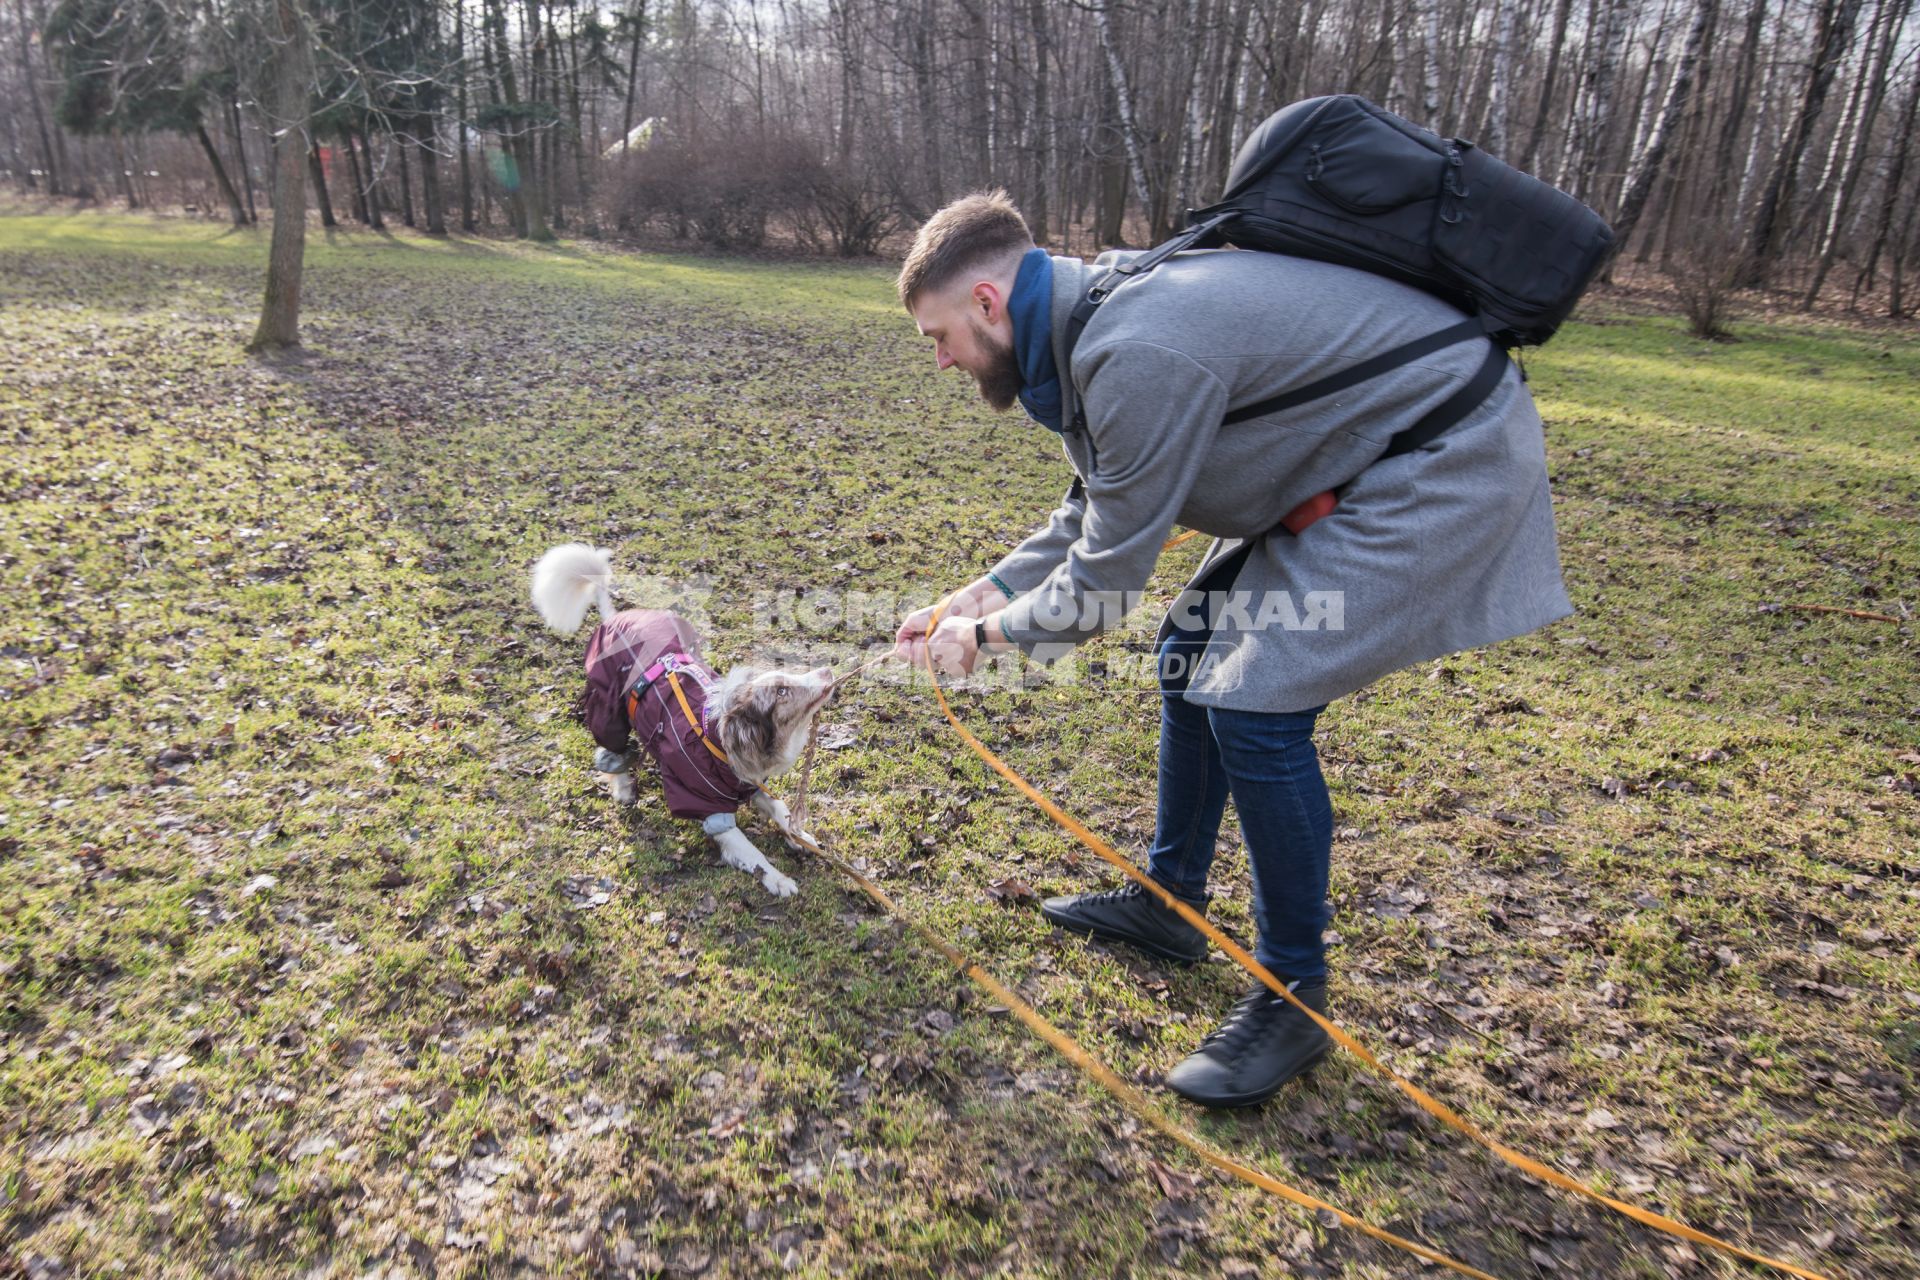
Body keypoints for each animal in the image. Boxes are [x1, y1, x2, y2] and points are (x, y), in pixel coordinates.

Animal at [526, 545, 833, 898]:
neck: (718, 740)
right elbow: (753, 854)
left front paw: (802, 838)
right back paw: (623, 788)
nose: (827, 671)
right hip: (607, 710)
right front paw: (778, 879)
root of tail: (614, 617)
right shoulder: (709, 807)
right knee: (611, 751)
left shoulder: (750, 784)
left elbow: (779, 808)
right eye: (781, 691)